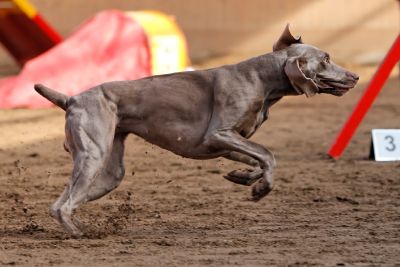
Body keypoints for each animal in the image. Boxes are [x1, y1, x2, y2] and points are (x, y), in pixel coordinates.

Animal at [35, 25, 360, 237]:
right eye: (326, 59)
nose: (356, 76)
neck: (261, 78)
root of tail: (72, 98)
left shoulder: (226, 143)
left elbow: (258, 159)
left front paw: (242, 177)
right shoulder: (218, 134)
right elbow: (269, 155)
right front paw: (261, 189)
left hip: (109, 171)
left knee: (61, 202)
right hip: (94, 155)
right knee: (63, 206)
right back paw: (79, 233)